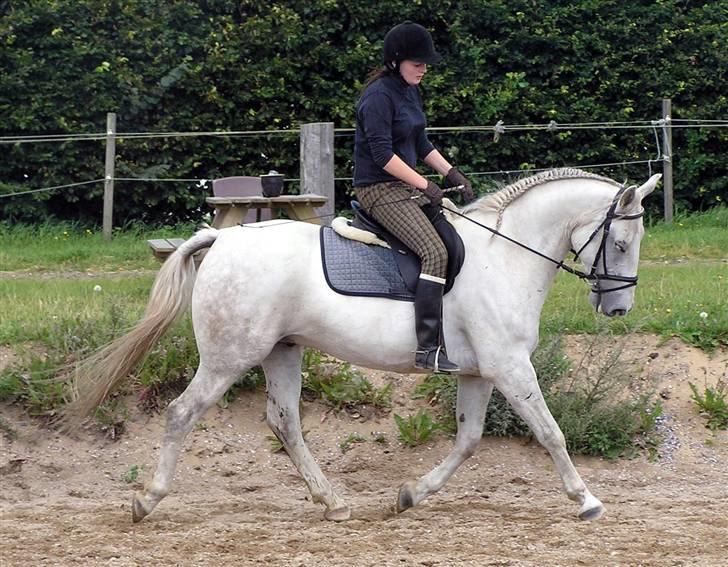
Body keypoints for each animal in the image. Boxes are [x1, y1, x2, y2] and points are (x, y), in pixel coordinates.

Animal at [67, 168, 660, 524]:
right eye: (620, 242)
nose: (618, 310)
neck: (505, 255)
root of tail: (224, 239)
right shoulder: (511, 367)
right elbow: (550, 431)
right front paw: (587, 500)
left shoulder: (479, 372)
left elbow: (468, 441)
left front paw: (411, 494)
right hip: (229, 356)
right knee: (182, 412)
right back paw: (147, 500)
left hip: (283, 350)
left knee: (284, 422)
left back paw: (331, 502)